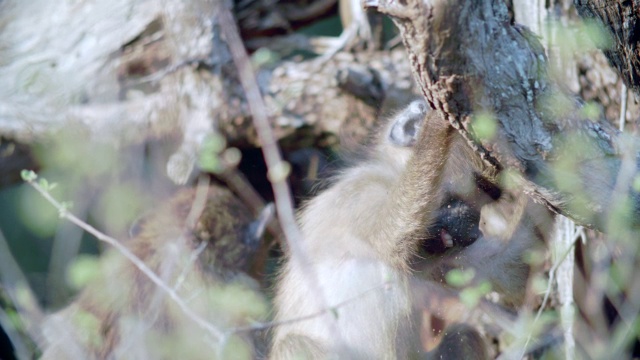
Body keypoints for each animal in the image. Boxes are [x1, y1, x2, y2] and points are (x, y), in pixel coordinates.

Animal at [270, 99, 552, 360]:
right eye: (479, 186)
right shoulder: (361, 193)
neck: (392, 175)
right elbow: (391, 237)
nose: (475, 232)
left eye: (490, 193)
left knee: (464, 334)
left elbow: (516, 265)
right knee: (293, 344)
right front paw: (436, 128)